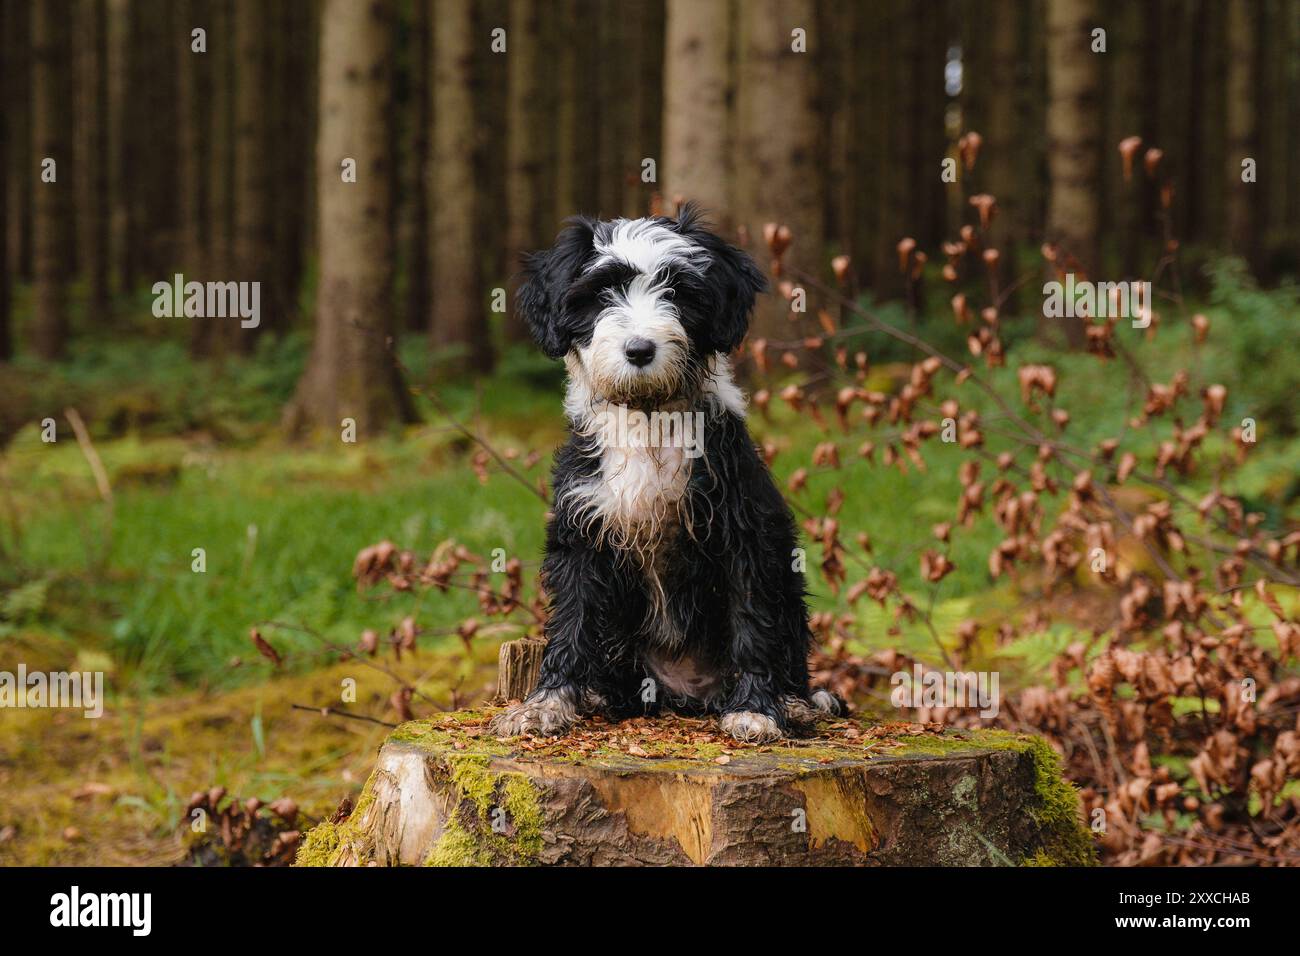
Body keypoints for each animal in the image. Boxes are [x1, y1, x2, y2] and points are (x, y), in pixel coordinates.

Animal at [493, 205, 842, 743]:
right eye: (602, 294)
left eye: (677, 291)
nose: (639, 350)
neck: (649, 419)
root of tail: (686, 693)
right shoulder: (582, 532)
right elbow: (571, 622)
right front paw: (545, 704)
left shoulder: (744, 533)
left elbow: (752, 619)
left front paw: (757, 710)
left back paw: (795, 702)